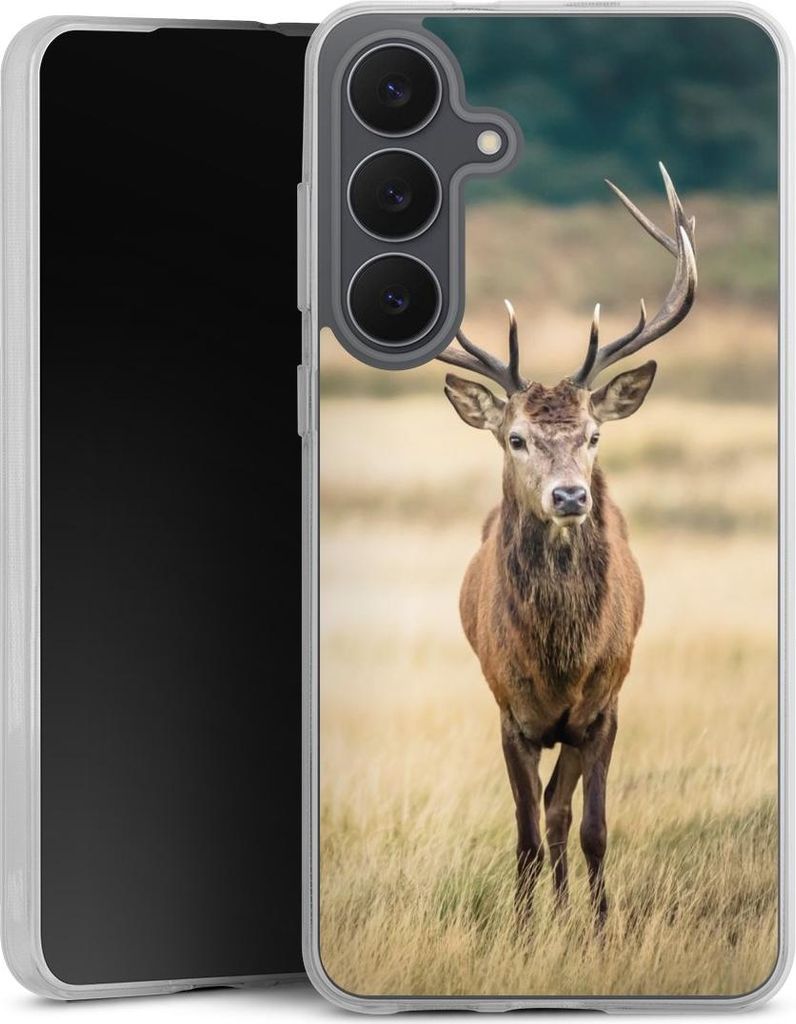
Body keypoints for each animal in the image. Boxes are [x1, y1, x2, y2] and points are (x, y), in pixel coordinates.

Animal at [438, 164, 697, 927]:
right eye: (516, 438)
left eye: (594, 435)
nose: (571, 496)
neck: (558, 660)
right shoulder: (509, 711)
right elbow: (524, 834)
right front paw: (525, 934)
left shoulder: (604, 707)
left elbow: (592, 829)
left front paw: (602, 930)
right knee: (543, 815)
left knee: (561, 812)